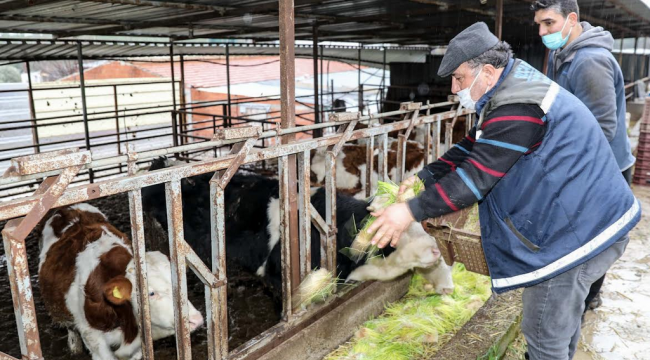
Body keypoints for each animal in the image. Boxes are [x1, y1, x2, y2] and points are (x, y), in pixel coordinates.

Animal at [39, 202, 201, 360]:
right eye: (152, 293)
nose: (196, 319)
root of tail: (70, 207)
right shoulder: (93, 338)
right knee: (70, 326)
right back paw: (74, 346)